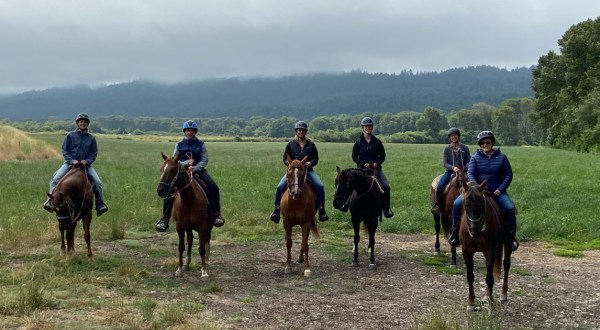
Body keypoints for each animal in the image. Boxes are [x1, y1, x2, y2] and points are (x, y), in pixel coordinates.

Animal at [460, 179, 510, 310]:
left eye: (482, 203)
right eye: (466, 204)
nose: (475, 227)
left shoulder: (489, 251)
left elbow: (489, 278)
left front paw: (490, 300)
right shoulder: (466, 251)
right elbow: (470, 276)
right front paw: (471, 302)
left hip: (506, 245)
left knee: (506, 265)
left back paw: (503, 294)